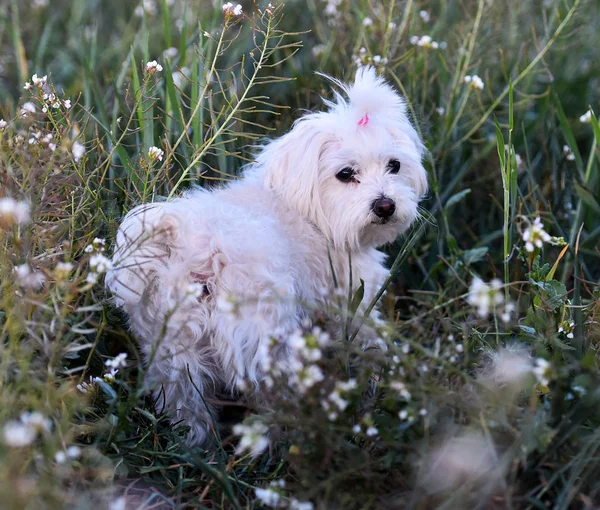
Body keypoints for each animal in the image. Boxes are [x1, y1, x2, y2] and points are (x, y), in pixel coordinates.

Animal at [106, 65, 426, 444]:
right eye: (346, 174)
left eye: (395, 166)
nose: (385, 205)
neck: (311, 216)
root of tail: (193, 246)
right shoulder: (351, 301)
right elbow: (369, 346)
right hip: (266, 346)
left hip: (174, 356)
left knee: (189, 411)